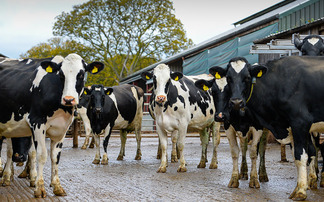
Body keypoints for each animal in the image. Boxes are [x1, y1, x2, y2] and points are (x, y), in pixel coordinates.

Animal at [0, 53, 104, 197]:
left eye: (81, 74)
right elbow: (41, 155)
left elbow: (55, 157)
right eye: (61, 75)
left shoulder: (62, 129)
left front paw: (57, 186)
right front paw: (39, 187)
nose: (69, 99)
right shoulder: (37, 122)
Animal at [209, 56, 322, 200]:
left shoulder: (297, 122)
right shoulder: (230, 126)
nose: (236, 103)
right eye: (228, 78)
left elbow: (298, 155)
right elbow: (236, 151)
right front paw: (235, 179)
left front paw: (300, 191)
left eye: (247, 77)